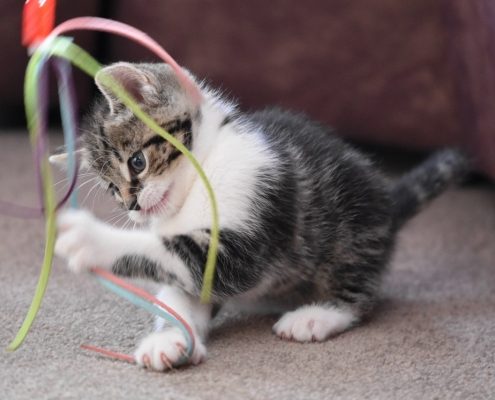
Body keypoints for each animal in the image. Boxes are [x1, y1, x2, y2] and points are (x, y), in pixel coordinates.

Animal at [52, 61, 470, 370]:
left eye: (136, 162)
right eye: (111, 189)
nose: (132, 206)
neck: (200, 179)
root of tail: (388, 200)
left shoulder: (251, 219)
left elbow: (170, 251)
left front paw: (91, 238)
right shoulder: (195, 268)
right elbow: (180, 290)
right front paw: (170, 339)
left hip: (351, 230)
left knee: (359, 292)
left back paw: (317, 316)